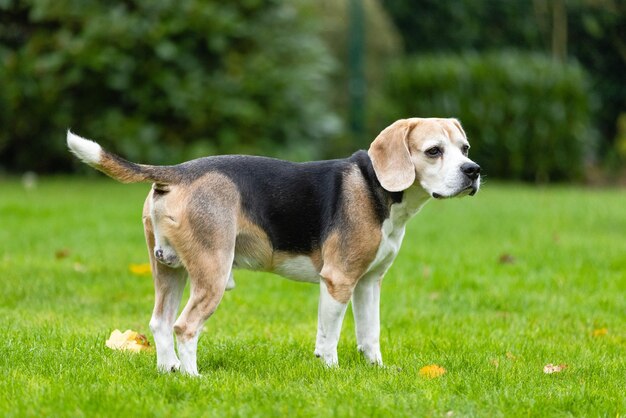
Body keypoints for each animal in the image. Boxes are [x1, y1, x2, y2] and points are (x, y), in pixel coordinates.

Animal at [67, 117, 478, 376]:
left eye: (464, 147)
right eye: (433, 151)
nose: (473, 171)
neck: (377, 186)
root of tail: (179, 171)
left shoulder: (368, 283)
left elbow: (369, 334)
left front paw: (376, 370)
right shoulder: (338, 280)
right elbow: (329, 336)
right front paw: (332, 371)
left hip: (169, 270)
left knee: (161, 322)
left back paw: (169, 370)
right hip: (213, 274)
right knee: (185, 327)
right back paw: (192, 377)